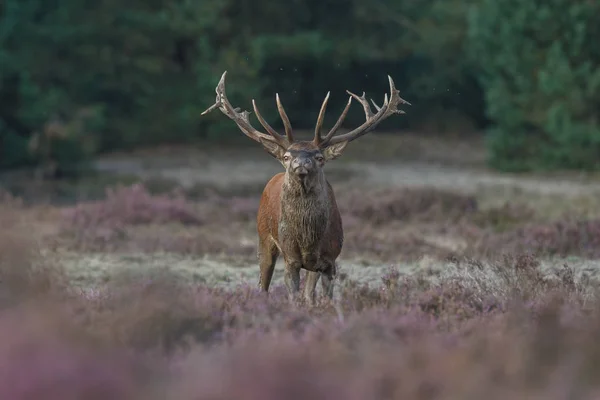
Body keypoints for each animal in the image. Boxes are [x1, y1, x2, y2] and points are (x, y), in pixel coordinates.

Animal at [200, 72, 408, 304]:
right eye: (286, 156)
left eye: (319, 157)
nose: (301, 163)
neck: (309, 239)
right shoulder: (290, 258)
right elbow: (293, 296)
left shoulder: (330, 260)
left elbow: (322, 298)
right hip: (263, 237)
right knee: (263, 283)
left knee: (308, 292)